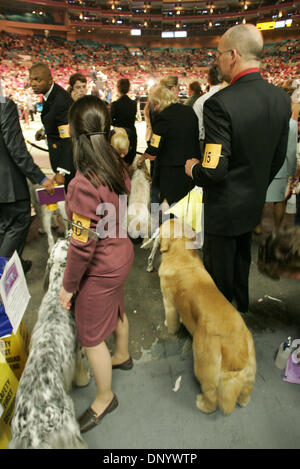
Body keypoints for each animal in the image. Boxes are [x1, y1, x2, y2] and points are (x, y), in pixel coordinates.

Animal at [9, 238, 89, 450]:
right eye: (67, 244)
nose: (66, 236)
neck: (56, 291)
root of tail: (34, 432)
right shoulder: (78, 351)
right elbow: (82, 370)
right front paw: (85, 379)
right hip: (70, 426)